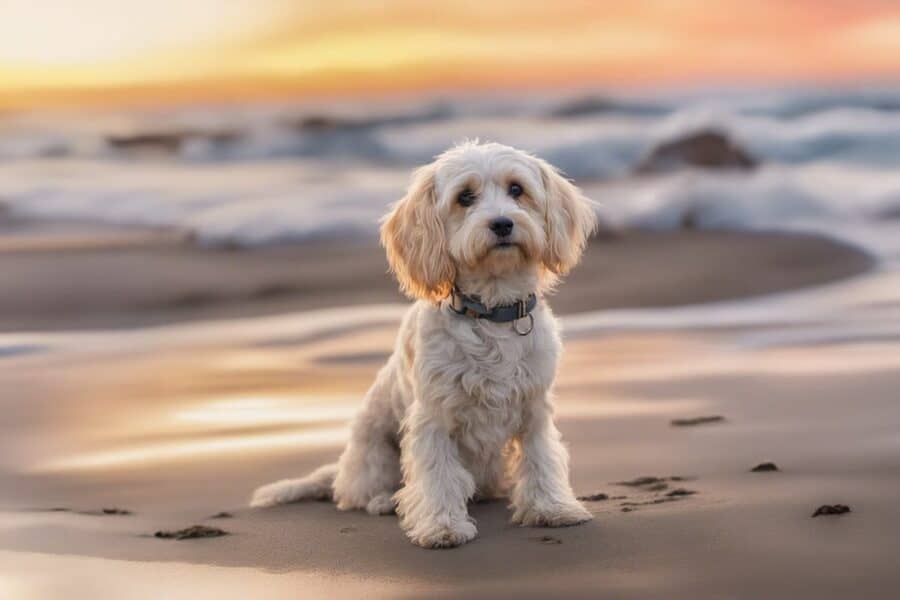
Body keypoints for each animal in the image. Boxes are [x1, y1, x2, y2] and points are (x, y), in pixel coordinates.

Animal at [250, 141, 596, 548]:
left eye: (517, 189)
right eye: (465, 197)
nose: (501, 224)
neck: (491, 309)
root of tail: (340, 473)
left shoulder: (534, 409)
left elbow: (540, 457)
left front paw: (551, 507)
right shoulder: (433, 417)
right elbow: (437, 473)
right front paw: (441, 526)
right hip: (374, 448)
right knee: (361, 494)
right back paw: (386, 501)